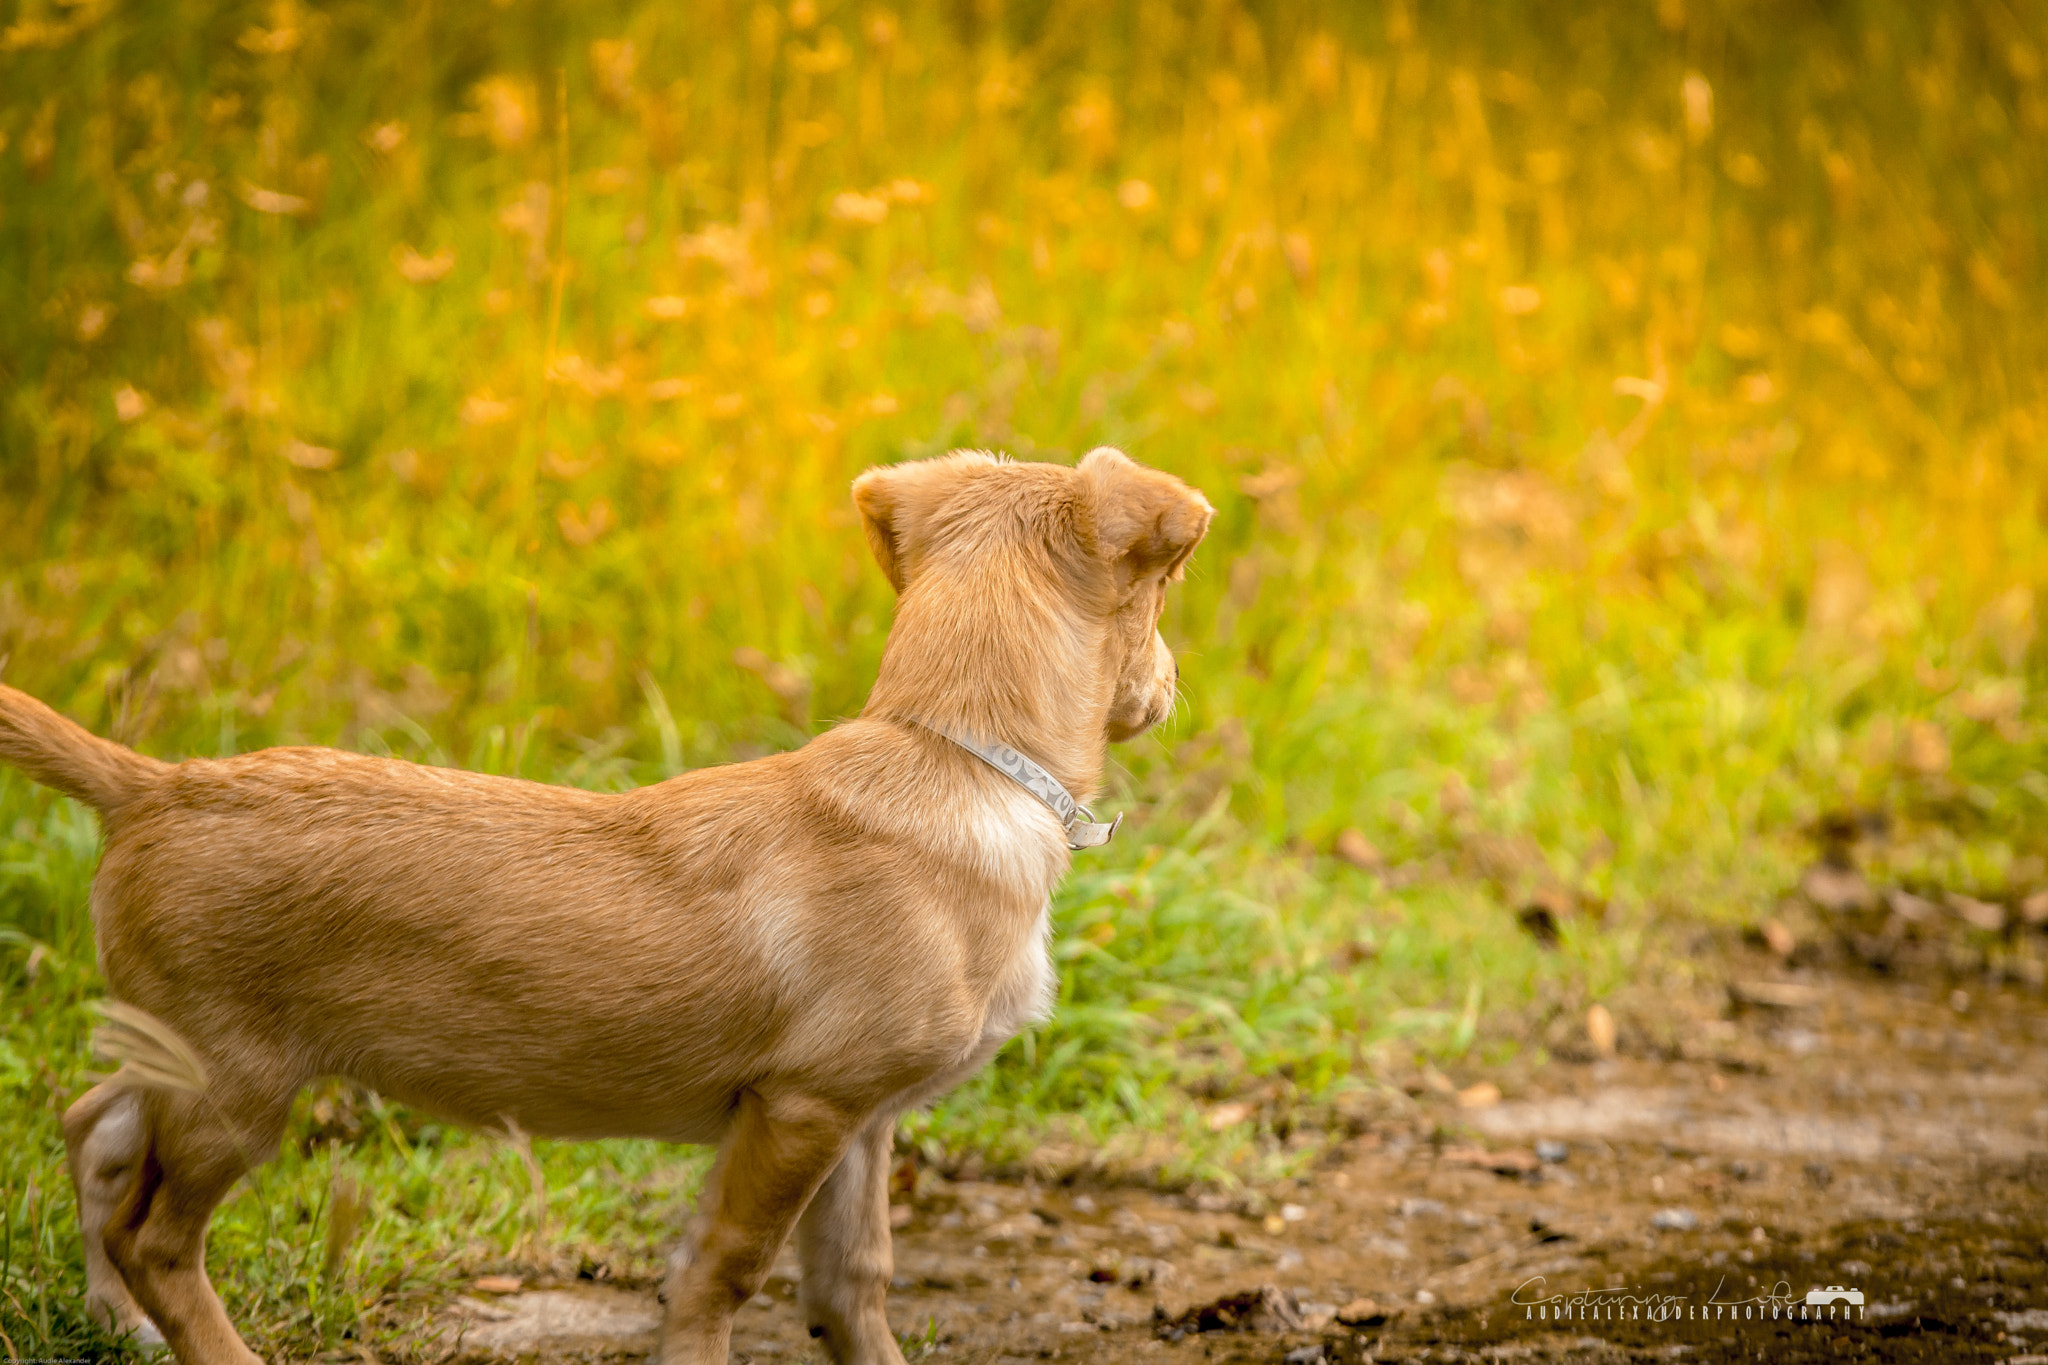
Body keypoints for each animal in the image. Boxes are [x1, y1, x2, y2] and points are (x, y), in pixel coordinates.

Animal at [0, 450, 1204, 1365]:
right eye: (1162, 594)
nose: (1172, 687)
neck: (959, 758)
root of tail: (153, 784)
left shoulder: (862, 1122)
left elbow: (851, 1286)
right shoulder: (802, 1109)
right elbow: (726, 1272)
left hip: (177, 1054)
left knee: (95, 1136)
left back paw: (116, 1321)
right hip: (235, 1085)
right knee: (158, 1236)